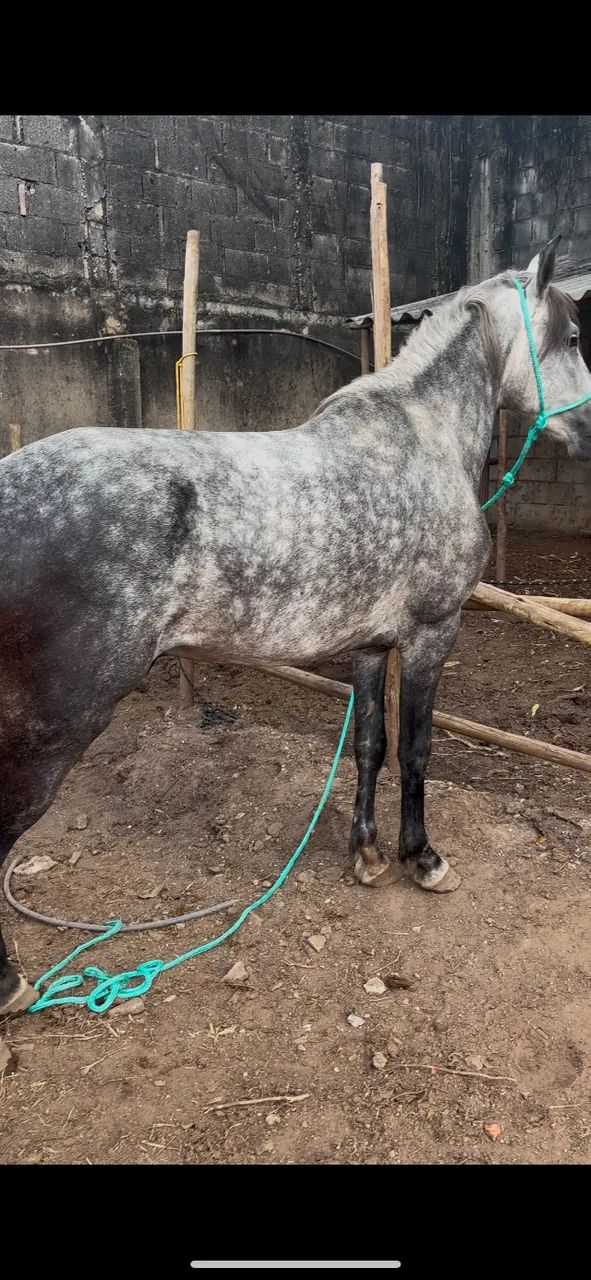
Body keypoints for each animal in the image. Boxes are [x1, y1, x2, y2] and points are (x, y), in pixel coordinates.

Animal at [1, 235, 590, 1049]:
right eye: (572, 337)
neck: (424, 438)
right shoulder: (431, 635)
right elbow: (416, 750)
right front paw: (422, 859)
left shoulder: (370, 649)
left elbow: (370, 745)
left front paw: (366, 856)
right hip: (56, 723)